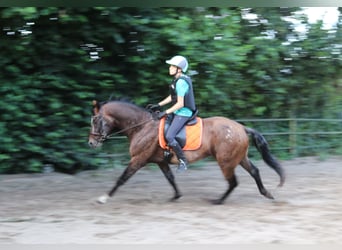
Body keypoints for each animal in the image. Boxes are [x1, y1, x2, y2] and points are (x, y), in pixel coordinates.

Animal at [88, 98, 286, 204]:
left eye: (96, 120)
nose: (91, 143)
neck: (142, 126)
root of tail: (241, 127)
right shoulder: (160, 161)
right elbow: (170, 178)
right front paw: (176, 196)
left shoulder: (138, 159)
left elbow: (122, 178)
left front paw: (104, 198)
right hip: (239, 158)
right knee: (254, 171)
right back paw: (266, 193)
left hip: (226, 162)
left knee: (233, 182)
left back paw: (219, 201)